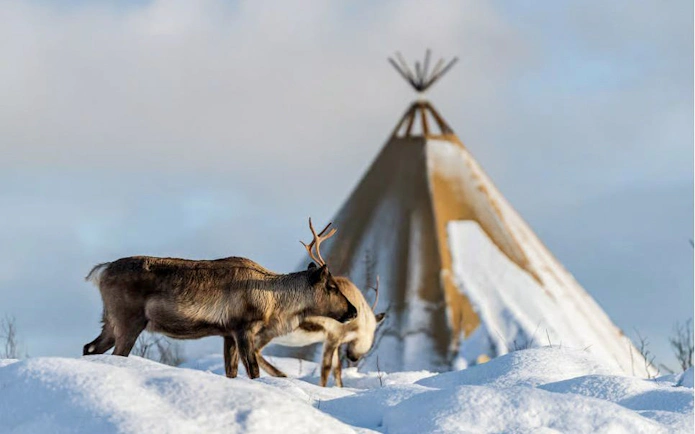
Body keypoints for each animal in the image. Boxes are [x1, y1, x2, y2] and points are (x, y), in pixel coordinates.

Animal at [82, 218, 357, 380]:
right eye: (332, 286)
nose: (353, 311)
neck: (275, 303)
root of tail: (100, 271)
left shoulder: (227, 333)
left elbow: (232, 372)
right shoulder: (243, 327)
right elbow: (253, 370)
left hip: (110, 320)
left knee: (90, 347)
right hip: (129, 320)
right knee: (114, 353)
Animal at [251, 231, 385, 387]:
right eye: (372, 334)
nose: (353, 357)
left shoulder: (331, 340)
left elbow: (337, 370)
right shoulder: (334, 336)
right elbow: (326, 369)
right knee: (255, 350)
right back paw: (281, 374)